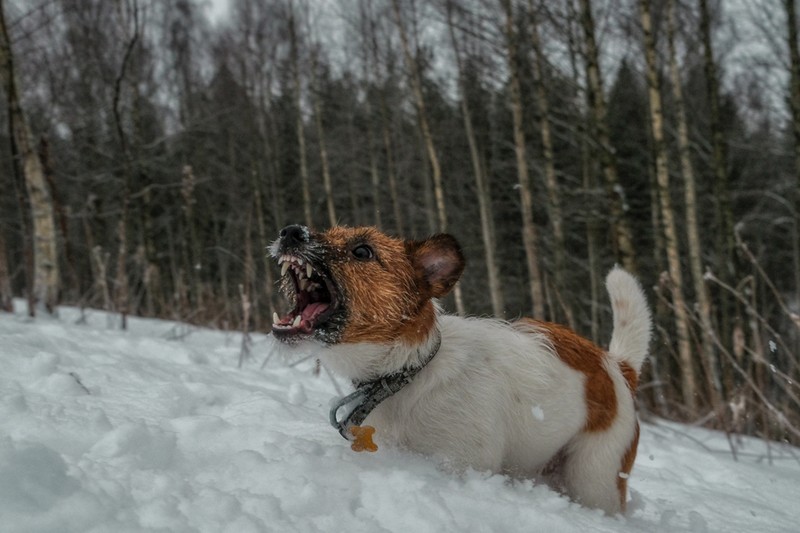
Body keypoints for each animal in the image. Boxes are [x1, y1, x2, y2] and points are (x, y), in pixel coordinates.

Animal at [268, 223, 648, 512]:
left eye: (362, 251)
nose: (290, 232)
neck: (407, 373)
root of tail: (616, 366)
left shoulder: (462, 463)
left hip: (594, 478)